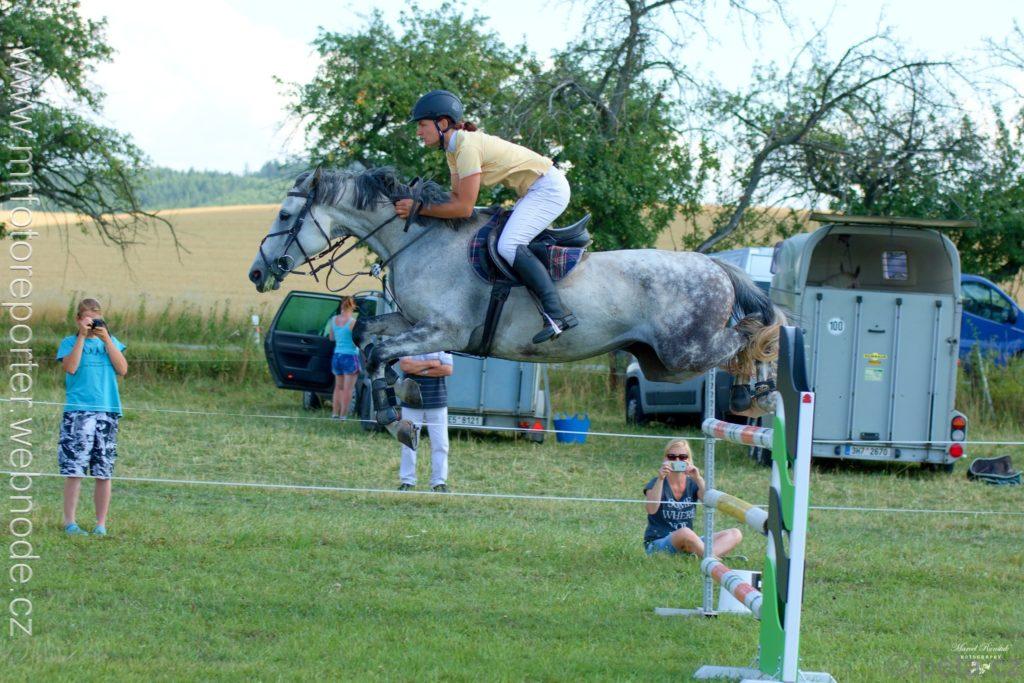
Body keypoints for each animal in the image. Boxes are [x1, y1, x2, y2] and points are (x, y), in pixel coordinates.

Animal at [249, 167, 786, 447]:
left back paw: (756, 394)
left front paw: (391, 414)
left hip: (684, 352)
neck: (418, 238)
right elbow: (366, 338)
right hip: (663, 363)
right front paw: (396, 409)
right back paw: (752, 394)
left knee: (755, 333)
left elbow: (379, 352)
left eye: (285, 215)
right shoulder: (414, 322)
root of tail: (715, 265)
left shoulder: (445, 331)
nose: (257, 273)